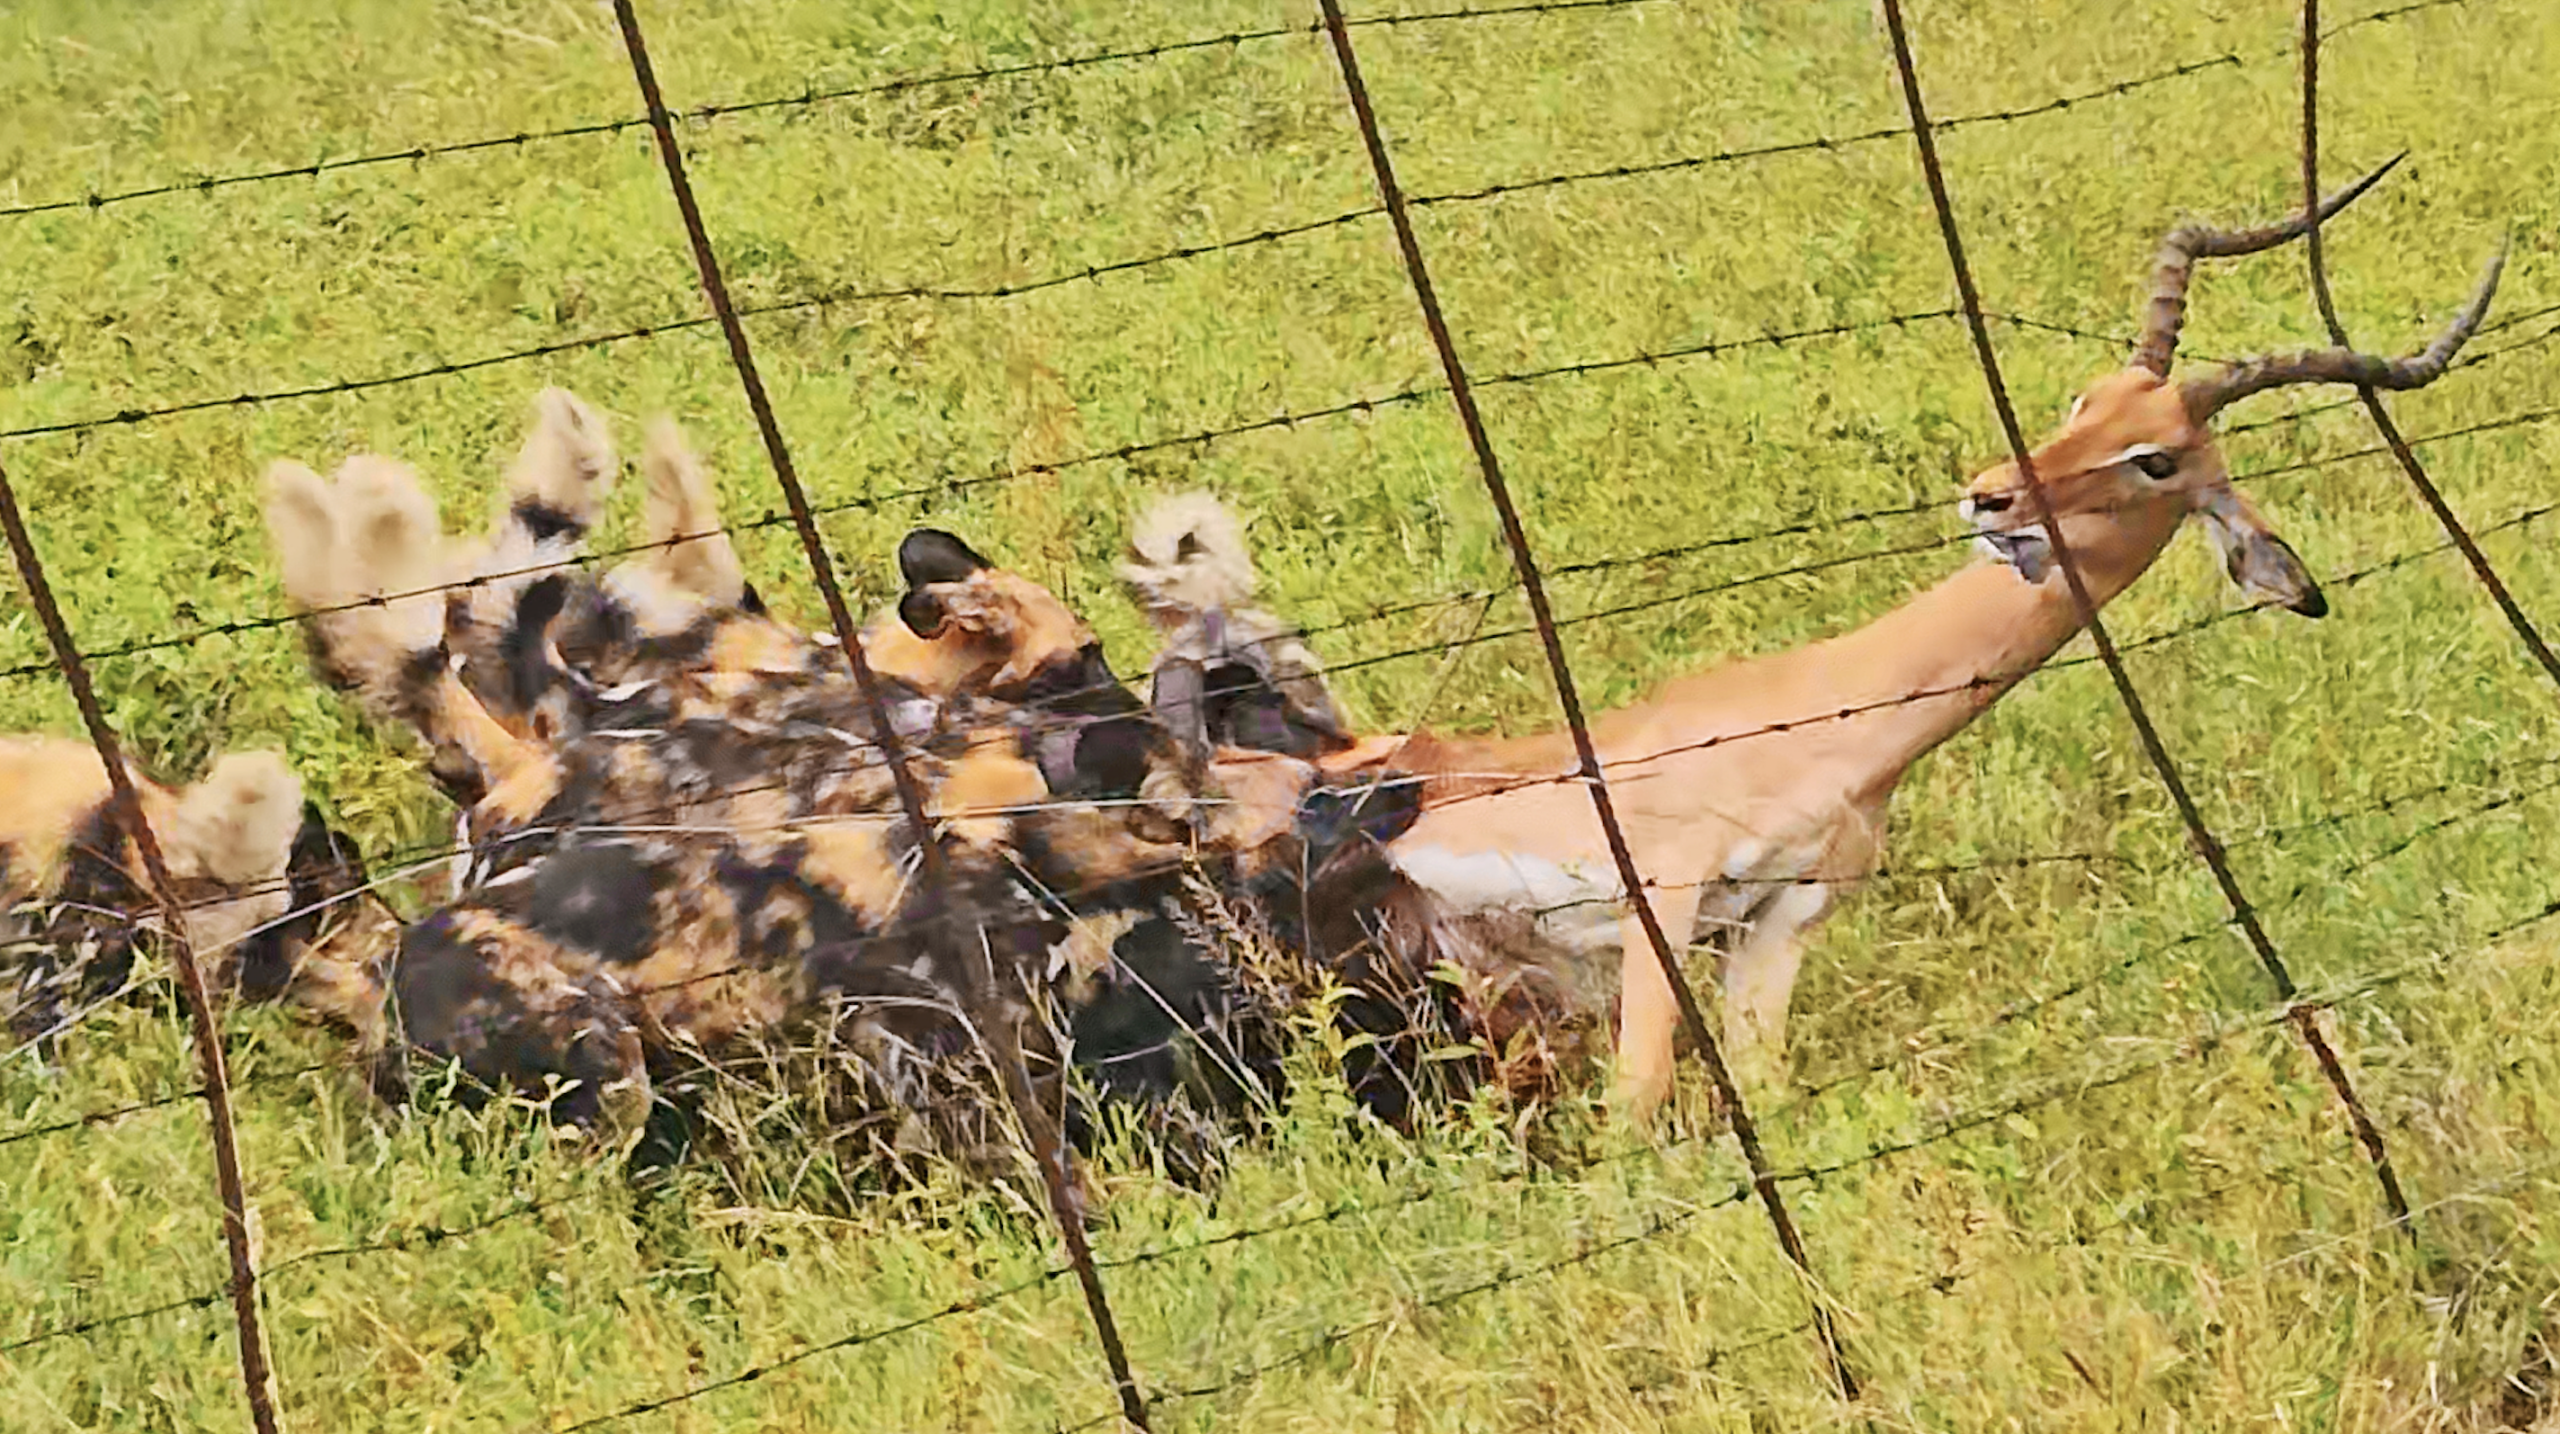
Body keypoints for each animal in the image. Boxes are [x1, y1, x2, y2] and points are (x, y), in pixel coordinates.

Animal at [1273, 165, 2502, 1118]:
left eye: (2155, 457)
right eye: (2085, 396)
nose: (1991, 495)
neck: (1829, 716)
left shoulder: (1778, 922)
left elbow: (1759, 1096)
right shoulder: (1664, 895)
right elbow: (1639, 1108)